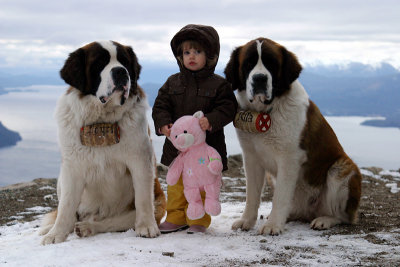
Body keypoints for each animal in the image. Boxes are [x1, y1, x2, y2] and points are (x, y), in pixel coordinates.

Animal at [38, 41, 166, 245]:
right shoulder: (72, 167)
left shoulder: (140, 160)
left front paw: (147, 227)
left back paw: (87, 227)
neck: (101, 121)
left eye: (124, 61)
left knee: (115, 220)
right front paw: (55, 234)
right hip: (60, 179)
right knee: (72, 213)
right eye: (99, 63)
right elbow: (66, 206)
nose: (121, 71)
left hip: (159, 201)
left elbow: (143, 199)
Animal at [225, 38, 362, 237]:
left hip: (342, 169)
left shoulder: (289, 159)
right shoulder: (251, 158)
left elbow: (280, 196)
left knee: (344, 216)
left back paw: (324, 220)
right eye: (248, 64)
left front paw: (273, 225)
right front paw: (247, 221)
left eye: (272, 64)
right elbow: (252, 195)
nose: (260, 78)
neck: (267, 111)